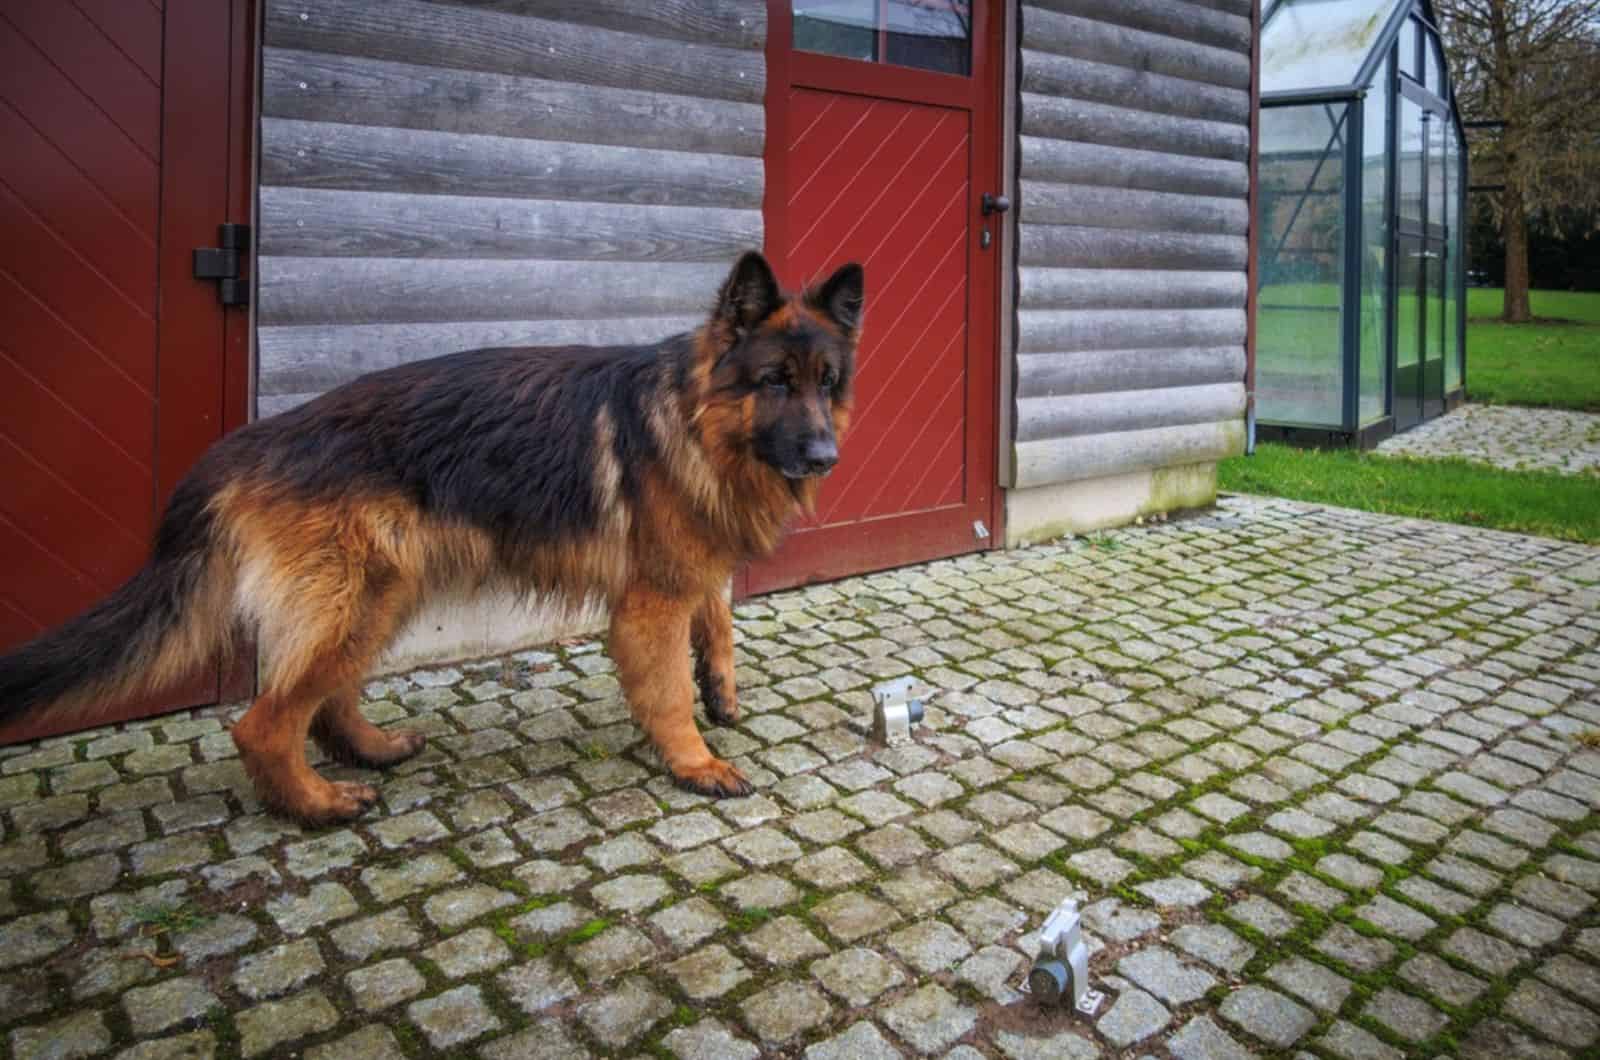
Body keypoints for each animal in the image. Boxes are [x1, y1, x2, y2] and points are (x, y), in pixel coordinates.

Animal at [0, 252, 864, 826]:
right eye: (775, 382)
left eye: (826, 384)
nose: (828, 456)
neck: (692, 416)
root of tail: (239, 447)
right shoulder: (649, 601)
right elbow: (667, 691)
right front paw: (695, 763)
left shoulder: (690, 560)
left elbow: (716, 614)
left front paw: (722, 686)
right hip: (357, 601)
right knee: (264, 723)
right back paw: (316, 805)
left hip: (382, 595)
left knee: (323, 703)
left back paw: (370, 750)